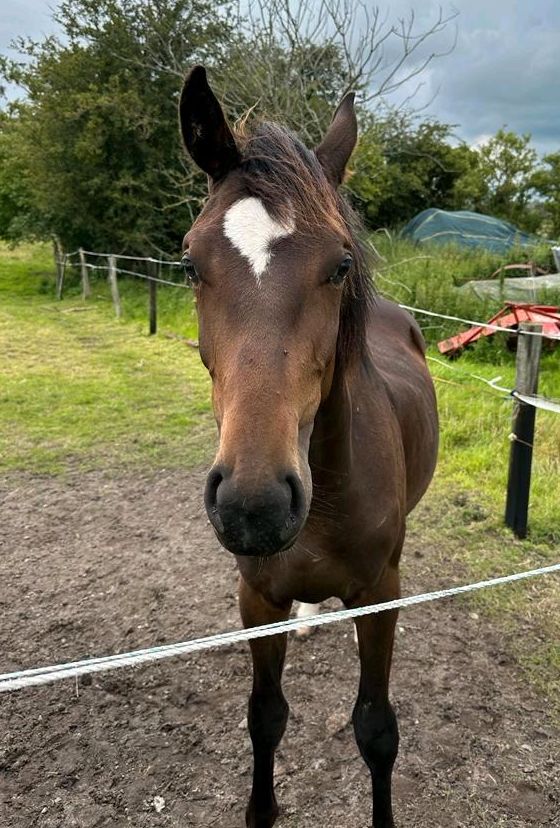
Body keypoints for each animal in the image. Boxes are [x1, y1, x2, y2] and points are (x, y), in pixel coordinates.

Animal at [178, 66, 438, 828]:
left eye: (340, 264)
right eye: (189, 265)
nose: (254, 505)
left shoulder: (381, 595)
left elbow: (376, 729)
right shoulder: (255, 598)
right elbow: (264, 717)